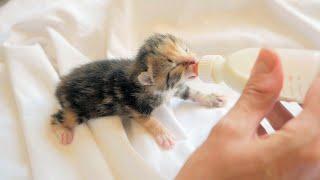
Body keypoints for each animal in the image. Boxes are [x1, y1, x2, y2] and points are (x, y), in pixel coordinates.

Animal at [51, 33, 225, 149]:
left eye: (186, 49)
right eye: (174, 65)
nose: (194, 60)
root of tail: (60, 87)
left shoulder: (175, 88)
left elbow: (191, 92)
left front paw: (211, 98)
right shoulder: (135, 106)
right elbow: (150, 121)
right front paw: (163, 134)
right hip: (79, 109)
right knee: (58, 118)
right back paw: (62, 131)